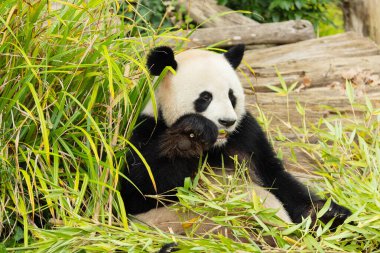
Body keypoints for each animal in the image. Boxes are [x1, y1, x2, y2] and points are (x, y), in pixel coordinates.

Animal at [121, 44, 350, 235]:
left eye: (232, 96)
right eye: (205, 97)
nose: (227, 121)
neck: (215, 146)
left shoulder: (248, 135)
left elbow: (276, 178)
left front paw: (327, 213)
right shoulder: (145, 128)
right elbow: (138, 191)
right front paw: (189, 136)